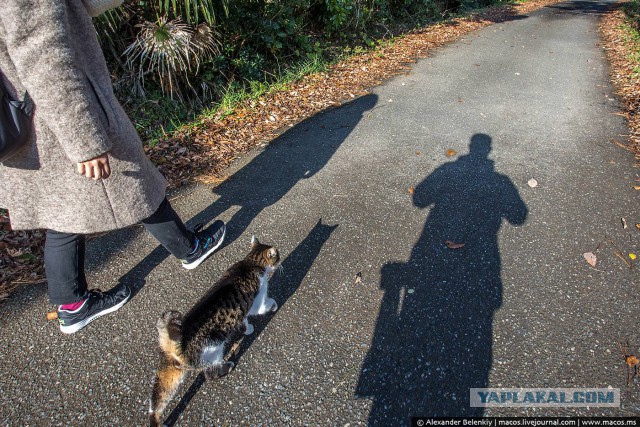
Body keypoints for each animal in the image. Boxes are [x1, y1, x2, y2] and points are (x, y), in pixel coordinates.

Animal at [151, 236, 282, 426]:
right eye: (277, 256)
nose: (281, 260)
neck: (250, 263)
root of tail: (177, 348)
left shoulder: (243, 311)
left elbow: (243, 320)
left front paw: (247, 329)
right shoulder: (258, 303)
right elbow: (266, 304)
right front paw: (273, 307)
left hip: (170, 371)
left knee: (157, 400)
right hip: (214, 349)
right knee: (209, 373)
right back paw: (227, 366)